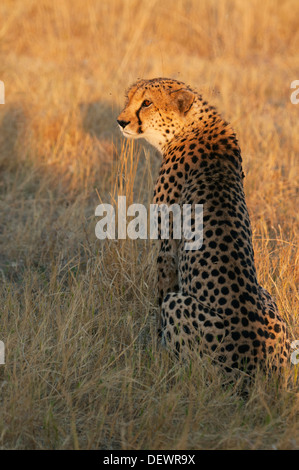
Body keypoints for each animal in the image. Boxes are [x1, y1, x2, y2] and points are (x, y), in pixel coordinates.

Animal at [117, 76, 290, 374]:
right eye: (130, 98)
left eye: (147, 102)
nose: (121, 121)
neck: (191, 124)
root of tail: (257, 365)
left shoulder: (166, 246)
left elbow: (161, 290)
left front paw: (155, 344)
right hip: (267, 295)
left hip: (180, 308)